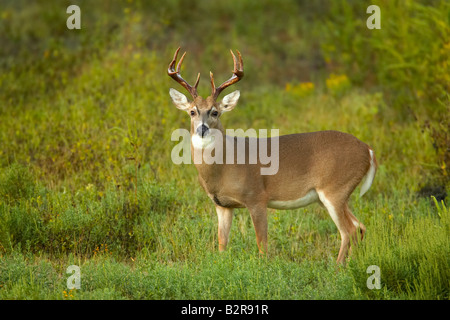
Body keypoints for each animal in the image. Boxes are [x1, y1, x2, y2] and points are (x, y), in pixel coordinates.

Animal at [167, 47, 378, 262]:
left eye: (215, 112)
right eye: (192, 111)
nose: (202, 128)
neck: (224, 167)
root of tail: (368, 150)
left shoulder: (257, 197)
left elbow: (262, 245)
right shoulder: (222, 205)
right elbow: (221, 244)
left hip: (334, 189)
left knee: (348, 230)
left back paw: (337, 267)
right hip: (334, 196)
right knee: (360, 227)